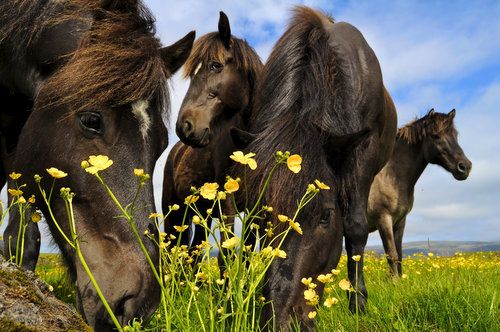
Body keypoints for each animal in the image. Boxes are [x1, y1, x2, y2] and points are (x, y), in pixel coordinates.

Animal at [228, 6, 398, 328]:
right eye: (263, 216)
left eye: (325, 216)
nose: (281, 320)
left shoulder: (363, 154)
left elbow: (355, 227)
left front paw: (358, 303)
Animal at [370, 108, 470, 274]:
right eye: (435, 136)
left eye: (456, 135)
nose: (465, 167)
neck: (390, 176)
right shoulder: (383, 219)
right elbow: (392, 255)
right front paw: (394, 280)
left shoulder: (400, 221)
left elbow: (399, 255)